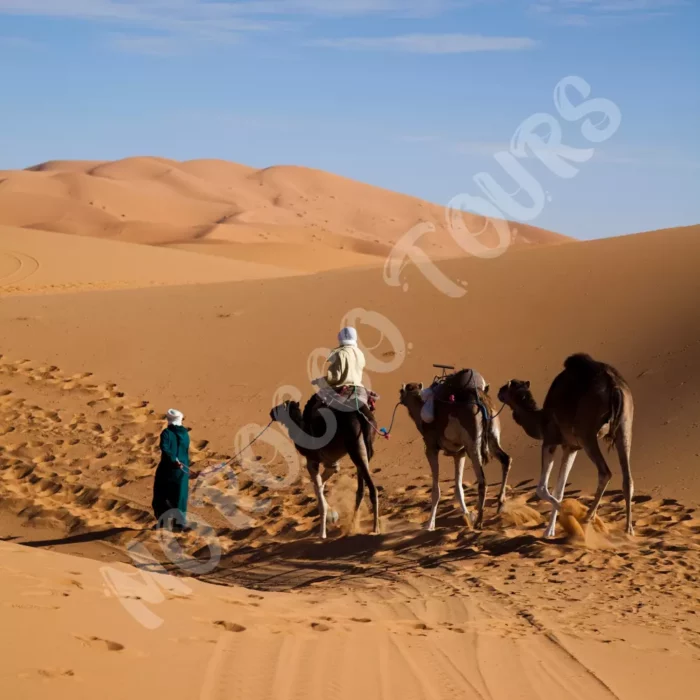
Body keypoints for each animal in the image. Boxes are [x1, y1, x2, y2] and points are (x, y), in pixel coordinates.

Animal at [270, 396, 380, 540]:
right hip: (365, 448)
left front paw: (322, 533)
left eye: (281, 406)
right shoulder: (332, 464)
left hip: (355, 446)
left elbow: (318, 489)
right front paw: (331, 515)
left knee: (372, 489)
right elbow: (319, 486)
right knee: (361, 489)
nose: (271, 412)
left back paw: (375, 529)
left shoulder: (312, 461)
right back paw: (352, 526)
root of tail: (362, 416)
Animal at [402, 372, 512, 532]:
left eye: (402, 390)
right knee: (506, 459)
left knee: (482, 480)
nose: (400, 398)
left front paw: (429, 525)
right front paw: (467, 516)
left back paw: (479, 521)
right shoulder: (459, 453)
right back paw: (500, 505)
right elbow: (458, 488)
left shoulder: (431, 448)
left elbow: (436, 490)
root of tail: (482, 401)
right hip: (492, 434)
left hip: (473, 442)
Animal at [498, 352, 636, 540]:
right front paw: (550, 531)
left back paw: (588, 517)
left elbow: (542, 488)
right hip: (625, 425)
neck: (540, 421)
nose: (498, 392)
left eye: (506, 387)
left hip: (586, 432)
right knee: (627, 479)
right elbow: (559, 489)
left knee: (605, 472)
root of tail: (614, 387)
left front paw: (568, 514)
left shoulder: (550, 440)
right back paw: (629, 530)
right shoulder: (571, 447)